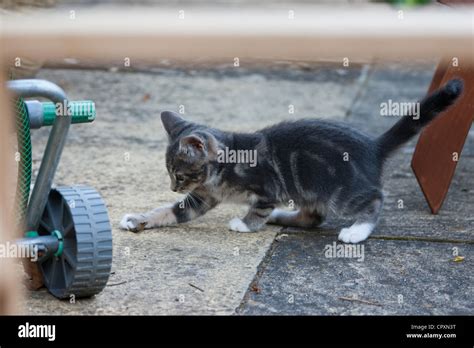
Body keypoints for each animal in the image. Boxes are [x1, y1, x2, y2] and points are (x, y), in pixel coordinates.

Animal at [121, 79, 462, 243]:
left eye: (179, 175)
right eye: (170, 174)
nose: (173, 188)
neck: (222, 168)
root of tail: (373, 145)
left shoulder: (267, 186)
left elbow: (258, 207)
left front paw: (245, 224)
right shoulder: (202, 197)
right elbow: (172, 212)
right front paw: (139, 219)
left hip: (340, 190)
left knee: (374, 198)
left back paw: (356, 231)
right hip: (312, 189)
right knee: (313, 218)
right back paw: (282, 216)